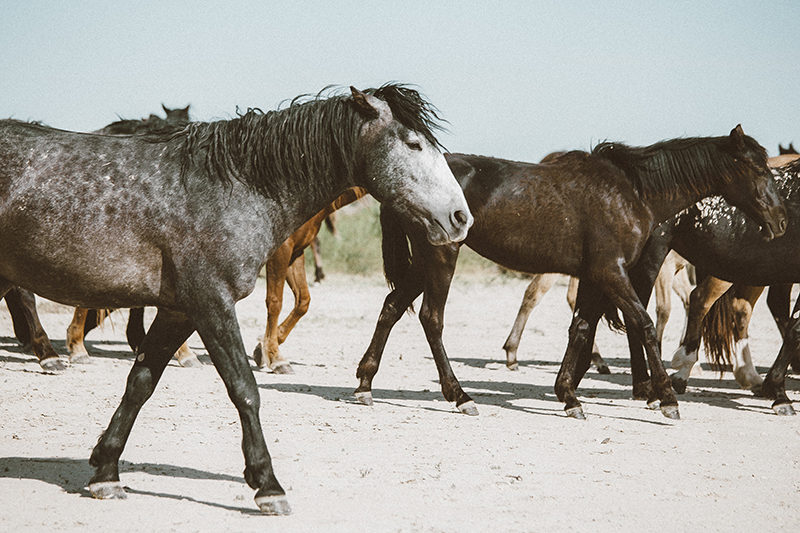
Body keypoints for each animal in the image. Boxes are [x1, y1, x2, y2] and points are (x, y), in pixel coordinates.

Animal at [0, 85, 476, 512]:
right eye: (413, 143)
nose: (460, 217)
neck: (235, 187)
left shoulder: (177, 311)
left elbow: (140, 385)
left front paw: (105, 471)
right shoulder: (211, 303)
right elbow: (245, 389)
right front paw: (267, 483)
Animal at [356, 125, 788, 420]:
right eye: (756, 168)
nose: (782, 219)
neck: (630, 191)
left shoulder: (596, 276)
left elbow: (580, 328)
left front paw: (568, 395)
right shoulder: (611, 272)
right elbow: (645, 325)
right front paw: (666, 398)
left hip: (424, 262)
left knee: (392, 306)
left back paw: (364, 383)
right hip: (441, 257)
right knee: (432, 318)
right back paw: (460, 396)